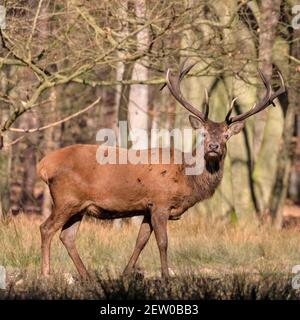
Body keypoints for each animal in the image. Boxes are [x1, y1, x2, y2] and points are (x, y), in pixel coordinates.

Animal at [37, 61, 286, 278]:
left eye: (226, 135)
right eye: (204, 133)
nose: (214, 147)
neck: (186, 178)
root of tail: (43, 165)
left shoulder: (147, 208)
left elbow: (141, 241)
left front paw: (126, 273)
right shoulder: (160, 202)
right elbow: (163, 242)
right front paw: (166, 275)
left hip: (79, 206)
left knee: (67, 236)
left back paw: (87, 276)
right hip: (66, 199)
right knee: (46, 228)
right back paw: (47, 273)